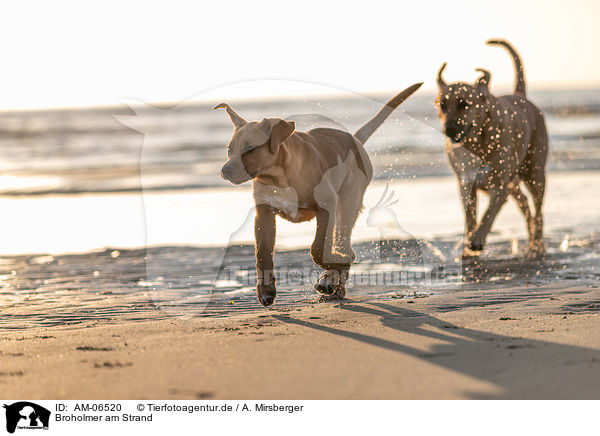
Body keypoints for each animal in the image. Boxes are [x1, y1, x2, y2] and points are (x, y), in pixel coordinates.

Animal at [216, 82, 422, 306]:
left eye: (251, 149)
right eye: (229, 149)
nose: (225, 171)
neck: (278, 177)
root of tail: (355, 139)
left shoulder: (327, 206)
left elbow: (317, 249)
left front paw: (338, 266)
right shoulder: (264, 213)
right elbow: (262, 252)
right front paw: (265, 289)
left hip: (347, 203)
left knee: (343, 243)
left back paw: (333, 278)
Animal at [436, 39, 548, 258]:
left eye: (464, 104)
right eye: (442, 104)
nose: (448, 129)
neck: (478, 144)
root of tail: (520, 96)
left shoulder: (500, 185)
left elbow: (489, 214)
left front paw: (476, 239)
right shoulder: (465, 184)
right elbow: (470, 217)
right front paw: (468, 246)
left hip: (535, 174)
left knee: (538, 212)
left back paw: (535, 247)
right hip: (515, 184)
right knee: (526, 206)